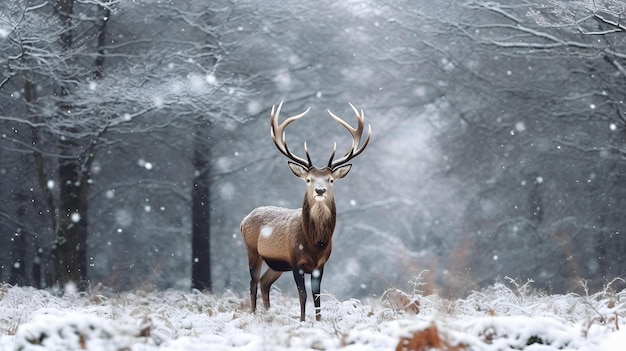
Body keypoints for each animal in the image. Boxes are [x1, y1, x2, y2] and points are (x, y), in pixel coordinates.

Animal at [236, 101, 368, 322]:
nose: (320, 190)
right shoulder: (295, 261)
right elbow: (302, 294)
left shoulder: (320, 265)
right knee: (253, 282)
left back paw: (268, 313)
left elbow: (317, 295)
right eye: (308, 179)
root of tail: (243, 220)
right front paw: (302, 321)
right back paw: (254, 314)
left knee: (264, 282)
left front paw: (319, 321)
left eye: (331, 180)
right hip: (253, 250)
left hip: (276, 264)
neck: (315, 243)